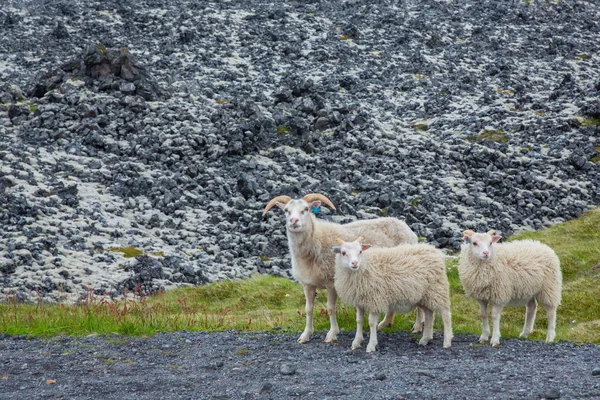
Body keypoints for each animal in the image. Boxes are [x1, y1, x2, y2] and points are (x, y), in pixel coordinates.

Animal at [262, 194, 418, 344]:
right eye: (286, 210)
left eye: (306, 209)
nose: (293, 221)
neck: (316, 241)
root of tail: (406, 227)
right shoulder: (308, 284)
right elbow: (308, 309)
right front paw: (305, 335)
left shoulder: (331, 283)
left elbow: (330, 308)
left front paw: (332, 334)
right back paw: (385, 323)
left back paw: (417, 327)